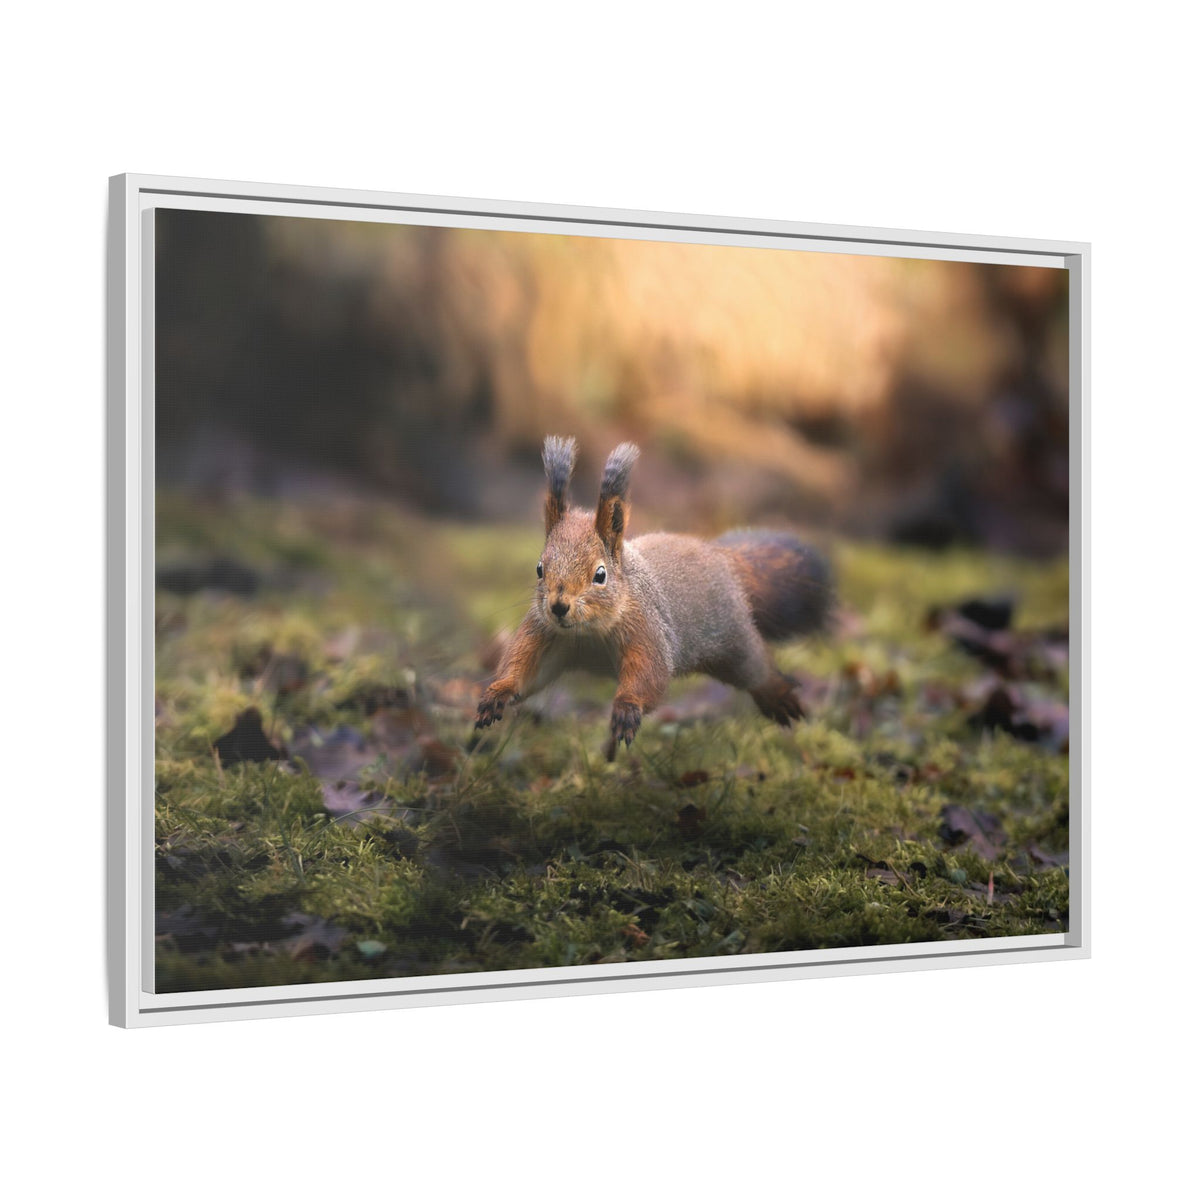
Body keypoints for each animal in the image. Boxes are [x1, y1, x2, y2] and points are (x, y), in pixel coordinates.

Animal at [474, 436, 833, 758]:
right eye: (539, 569)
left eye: (600, 575)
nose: (559, 607)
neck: (587, 634)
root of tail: (722, 558)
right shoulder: (544, 634)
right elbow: (524, 670)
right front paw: (497, 693)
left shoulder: (645, 628)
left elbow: (651, 673)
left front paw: (627, 707)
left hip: (733, 639)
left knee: (756, 666)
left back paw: (778, 693)